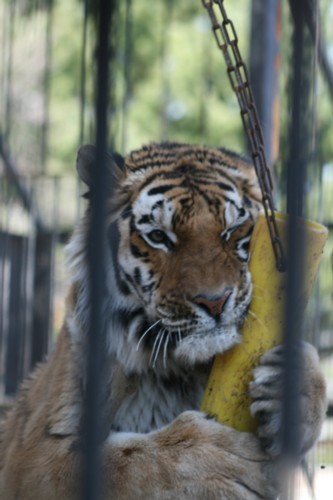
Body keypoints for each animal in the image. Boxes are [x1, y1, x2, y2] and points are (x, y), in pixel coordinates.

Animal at [0, 142, 326, 500]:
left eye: (230, 231)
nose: (214, 301)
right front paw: (213, 460)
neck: (177, 371)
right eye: (158, 236)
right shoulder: (33, 455)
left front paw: (293, 386)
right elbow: (129, 463)